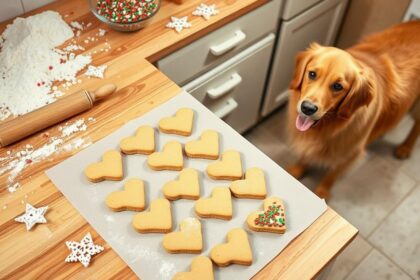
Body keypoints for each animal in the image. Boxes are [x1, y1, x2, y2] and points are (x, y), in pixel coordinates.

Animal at [286, 20, 420, 199]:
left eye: (337, 86)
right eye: (312, 74)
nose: (307, 108)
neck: (329, 126)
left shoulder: (350, 152)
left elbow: (332, 174)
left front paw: (322, 192)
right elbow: (305, 155)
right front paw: (297, 170)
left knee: (416, 127)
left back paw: (405, 148)